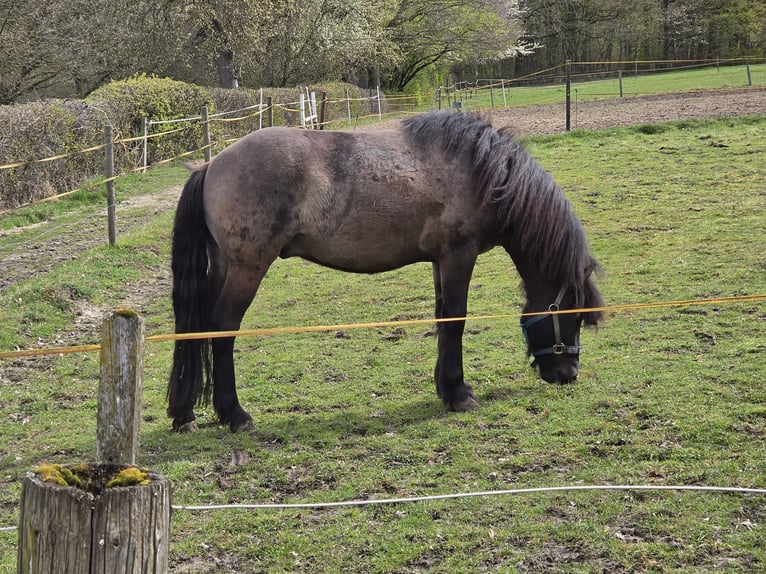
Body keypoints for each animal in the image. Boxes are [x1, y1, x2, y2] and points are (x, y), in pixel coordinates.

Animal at [168, 111, 604, 432]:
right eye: (573, 316)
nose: (568, 373)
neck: (482, 174)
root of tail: (211, 164)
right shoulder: (458, 255)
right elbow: (456, 320)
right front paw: (460, 394)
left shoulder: (439, 262)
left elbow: (442, 319)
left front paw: (446, 389)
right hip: (248, 267)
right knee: (222, 328)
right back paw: (235, 414)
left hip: (224, 267)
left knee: (198, 328)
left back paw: (186, 413)